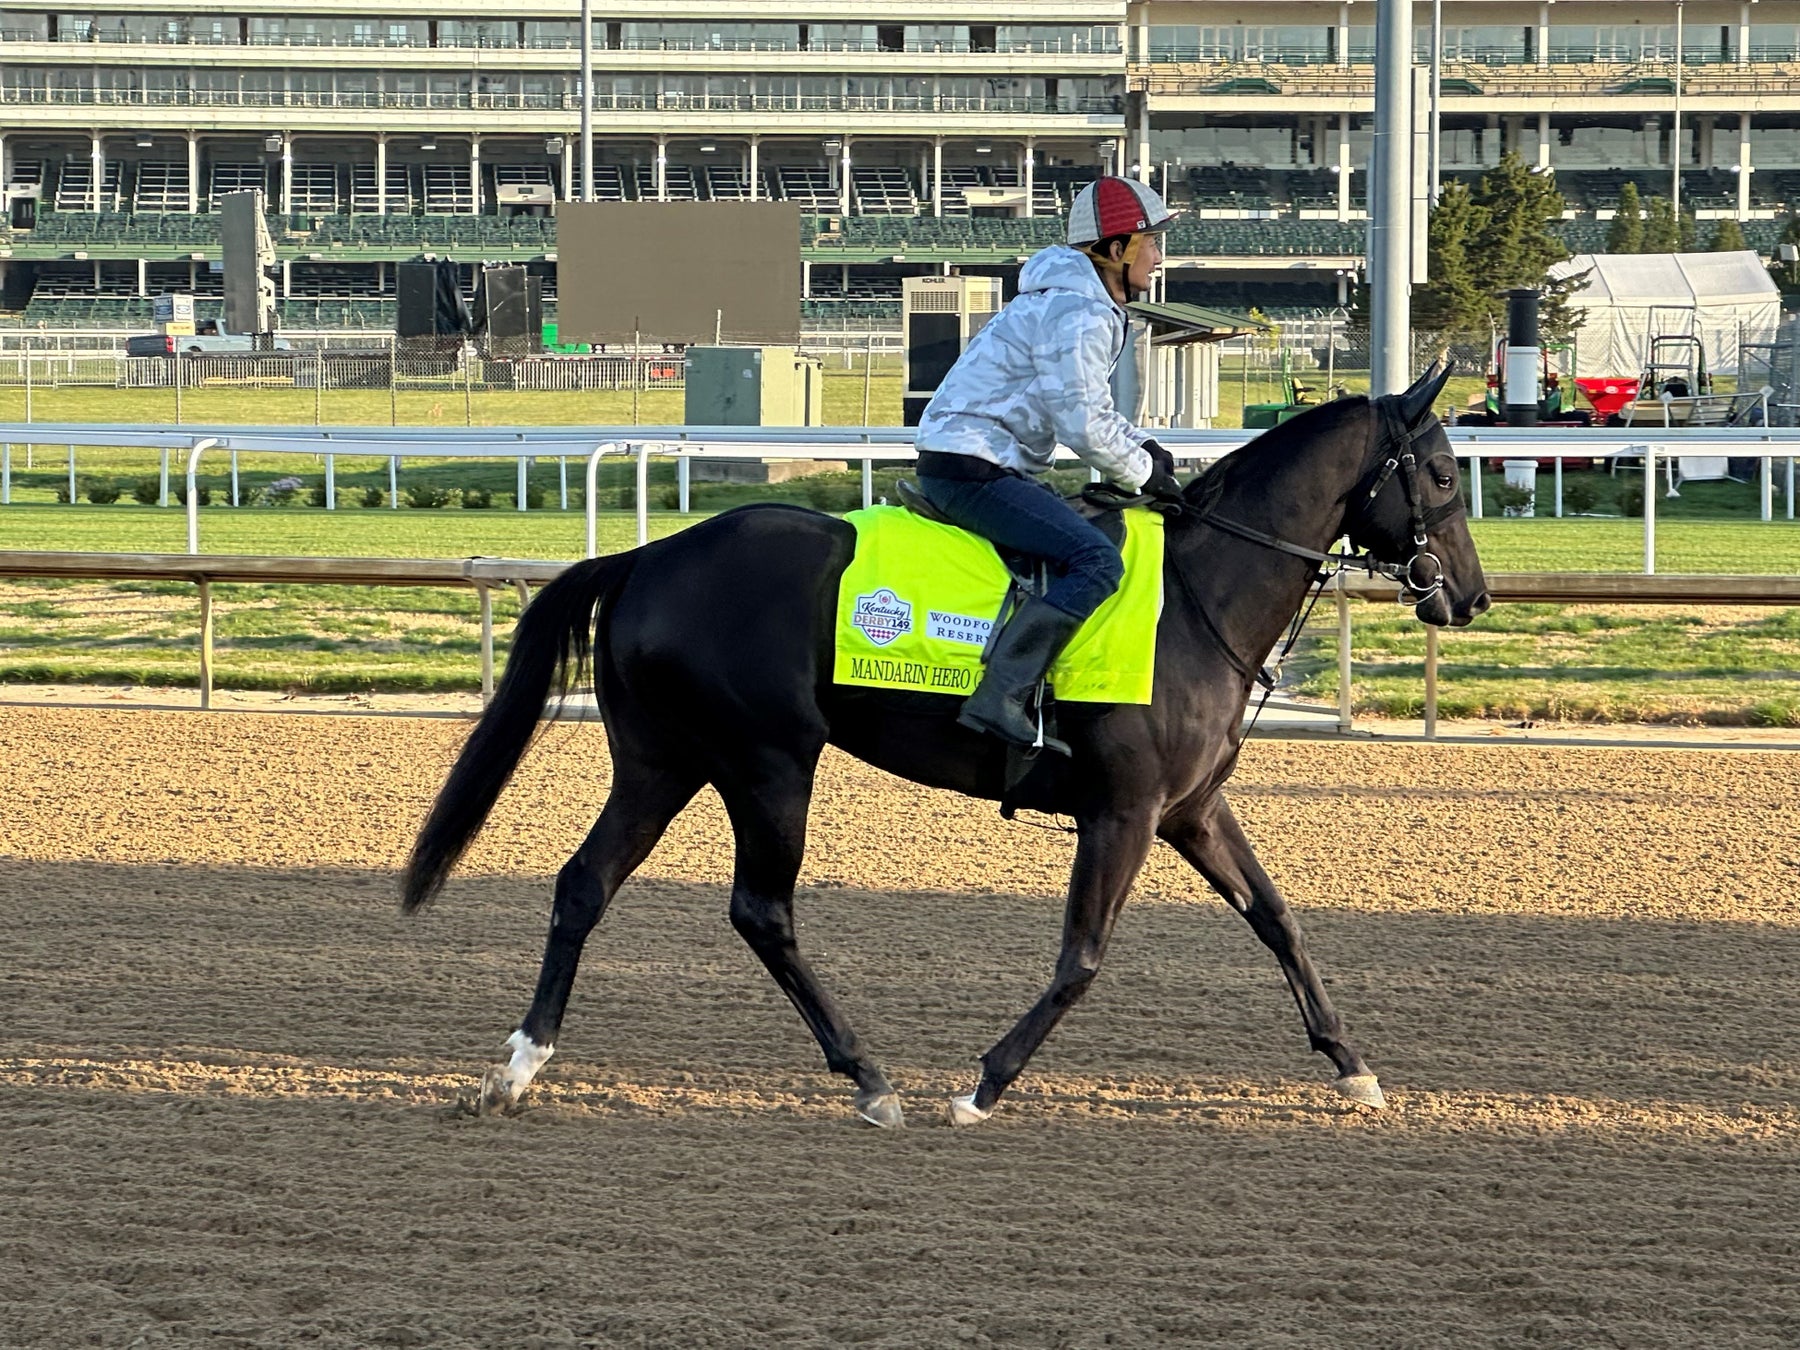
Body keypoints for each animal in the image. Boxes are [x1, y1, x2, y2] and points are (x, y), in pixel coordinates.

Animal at [405, 361, 1490, 1130]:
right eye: (1441, 470)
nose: (1472, 596)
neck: (1197, 601)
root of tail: (648, 556)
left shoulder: (1190, 809)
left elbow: (1278, 920)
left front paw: (1354, 1068)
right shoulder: (1124, 811)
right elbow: (1082, 956)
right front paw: (984, 1085)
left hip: (665, 761)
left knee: (585, 883)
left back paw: (518, 1067)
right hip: (768, 761)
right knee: (762, 910)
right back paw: (868, 1075)